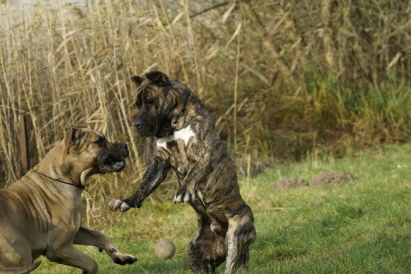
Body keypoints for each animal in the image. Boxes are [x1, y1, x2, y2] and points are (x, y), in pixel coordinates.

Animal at [109, 71, 258, 272]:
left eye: (150, 101)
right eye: (137, 104)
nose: (137, 124)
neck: (174, 124)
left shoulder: (205, 151)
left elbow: (194, 172)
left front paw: (184, 191)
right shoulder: (159, 163)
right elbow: (144, 185)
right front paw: (126, 201)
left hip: (237, 231)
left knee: (231, 264)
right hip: (195, 251)